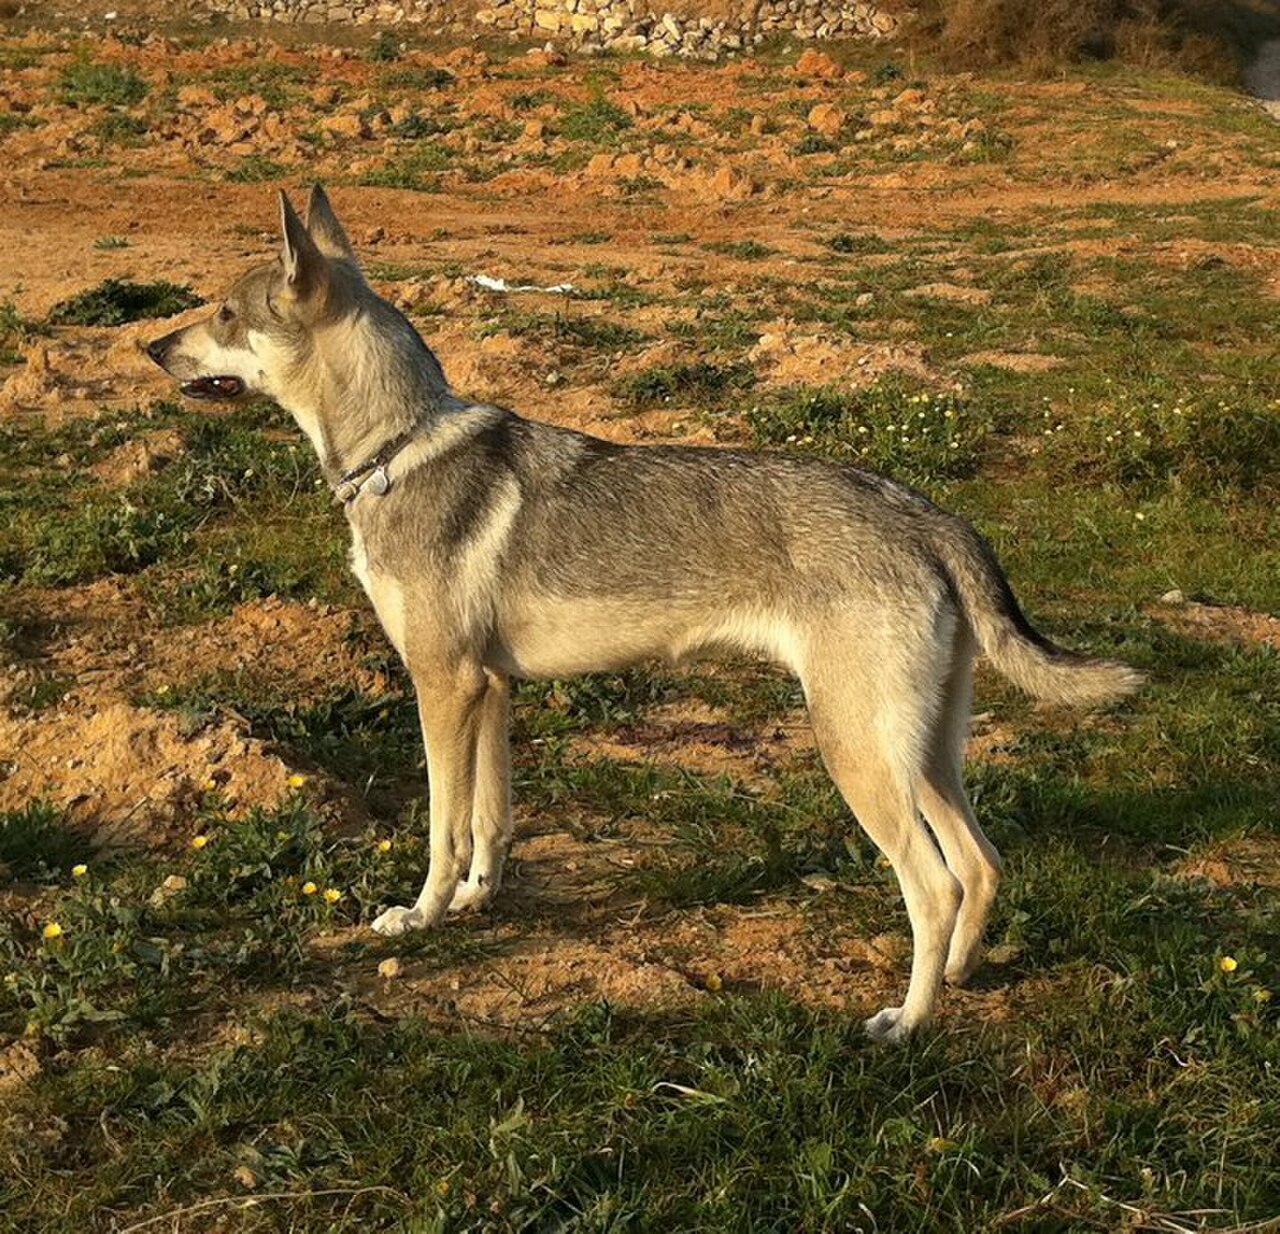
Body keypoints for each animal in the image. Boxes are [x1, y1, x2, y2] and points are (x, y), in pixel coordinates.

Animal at [147, 188, 1141, 1039]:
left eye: (225, 314)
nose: (152, 347)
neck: (396, 448)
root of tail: (930, 515)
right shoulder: (490, 690)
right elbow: (490, 823)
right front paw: (475, 903)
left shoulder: (442, 686)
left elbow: (440, 826)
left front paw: (421, 916)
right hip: (923, 753)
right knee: (982, 865)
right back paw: (964, 979)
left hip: (859, 754)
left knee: (934, 886)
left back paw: (909, 1021)